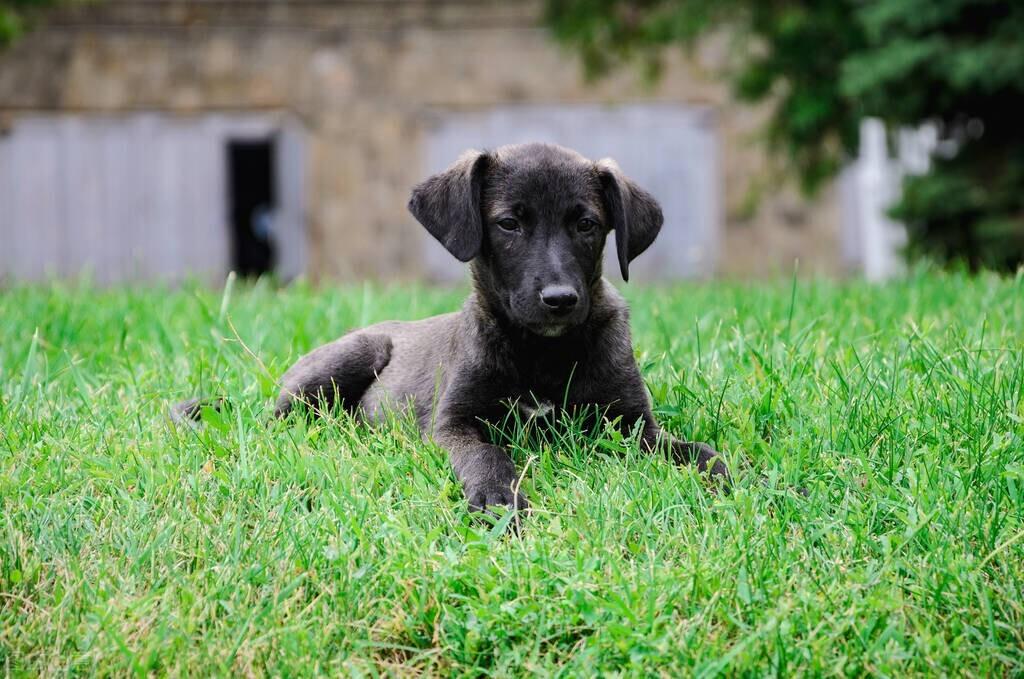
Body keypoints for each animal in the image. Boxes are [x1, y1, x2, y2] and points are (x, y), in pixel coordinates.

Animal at [180, 143, 733, 516]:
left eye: (586, 224)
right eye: (509, 224)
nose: (559, 300)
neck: (542, 354)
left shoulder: (633, 426)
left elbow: (695, 451)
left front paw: (724, 478)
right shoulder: (454, 424)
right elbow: (487, 454)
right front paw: (497, 499)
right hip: (344, 362)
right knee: (273, 422)